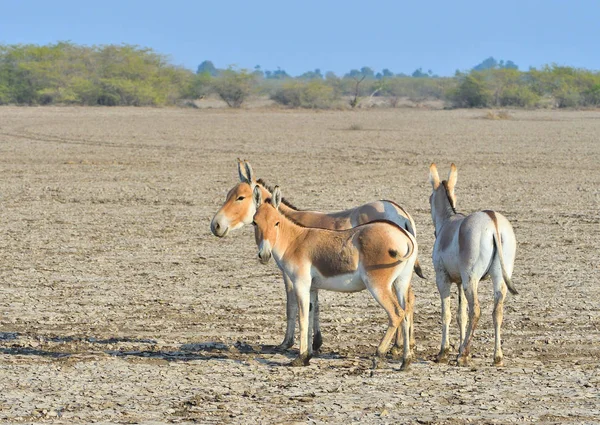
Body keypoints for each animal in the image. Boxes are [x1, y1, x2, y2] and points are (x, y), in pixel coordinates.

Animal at [251, 186, 414, 368]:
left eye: (276, 222)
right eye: (255, 222)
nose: (264, 255)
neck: (294, 241)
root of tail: (403, 237)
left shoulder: (300, 284)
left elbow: (303, 318)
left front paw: (300, 358)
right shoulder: (312, 288)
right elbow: (310, 315)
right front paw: (308, 356)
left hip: (378, 285)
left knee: (396, 314)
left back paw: (378, 356)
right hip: (401, 283)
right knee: (406, 311)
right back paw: (405, 361)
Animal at [428, 164, 516, 366]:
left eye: (429, 199)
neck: (448, 221)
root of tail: (493, 220)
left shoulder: (443, 279)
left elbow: (447, 314)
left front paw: (444, 352)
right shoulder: (459, 282)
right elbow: (461, 315)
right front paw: (458, 346)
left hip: (471, 278)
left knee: (476, 310)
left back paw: (464, 355)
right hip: (499, 277)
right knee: (497, 311)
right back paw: (497, 356)